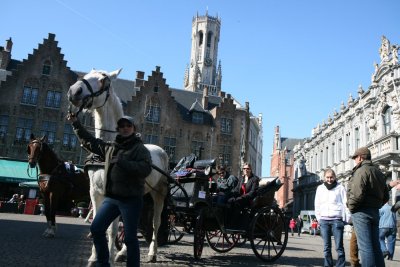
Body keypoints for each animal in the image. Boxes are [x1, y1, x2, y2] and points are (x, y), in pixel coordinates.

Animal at [68, 69, 168, 266]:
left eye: (104, 80)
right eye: (88, 73)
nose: (74, 90)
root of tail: (160, 150)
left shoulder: (113, 195)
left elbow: (112, 229)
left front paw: (108, 258)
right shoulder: (94, 192)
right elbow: (97, 222)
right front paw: (94, 257)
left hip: (159, 193)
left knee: (155, 222)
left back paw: (152, 253)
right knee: (135, 224)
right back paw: (123, 252)